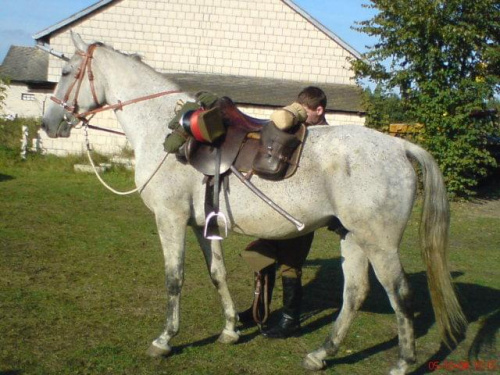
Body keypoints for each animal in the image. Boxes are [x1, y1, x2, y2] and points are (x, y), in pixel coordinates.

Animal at [41, 33, 466, 374]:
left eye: (66, 73)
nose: (49, 124)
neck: (165, 128)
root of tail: (399, 146)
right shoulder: (203, 224)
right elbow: (217, 274)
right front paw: (231, 329)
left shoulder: (170, 219)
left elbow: (174, 278)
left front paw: (164, 340)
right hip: (352, 236)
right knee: (355, 293)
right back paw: (321, 354)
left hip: (379, 244)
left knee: (399, 294)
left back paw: (403, 362)